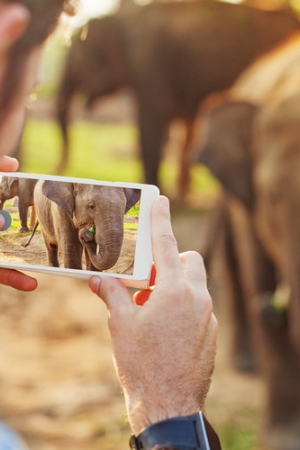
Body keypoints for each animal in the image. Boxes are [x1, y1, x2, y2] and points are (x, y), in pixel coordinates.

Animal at [56, 1, 300, 195]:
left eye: (78, 58)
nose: (61, 169)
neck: (122, 17)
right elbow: (187, 124)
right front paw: (180, 194)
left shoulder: (148, 59)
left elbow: (153, 123)